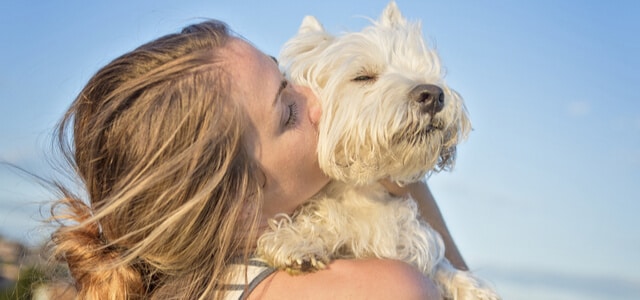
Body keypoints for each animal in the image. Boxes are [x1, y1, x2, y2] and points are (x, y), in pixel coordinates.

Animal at [258, 1, 498, 298]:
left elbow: (442, 267)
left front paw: (474, 289)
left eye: (421, 67)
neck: (364, 191)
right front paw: (296, 241)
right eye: (363, 76)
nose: (433, 95)